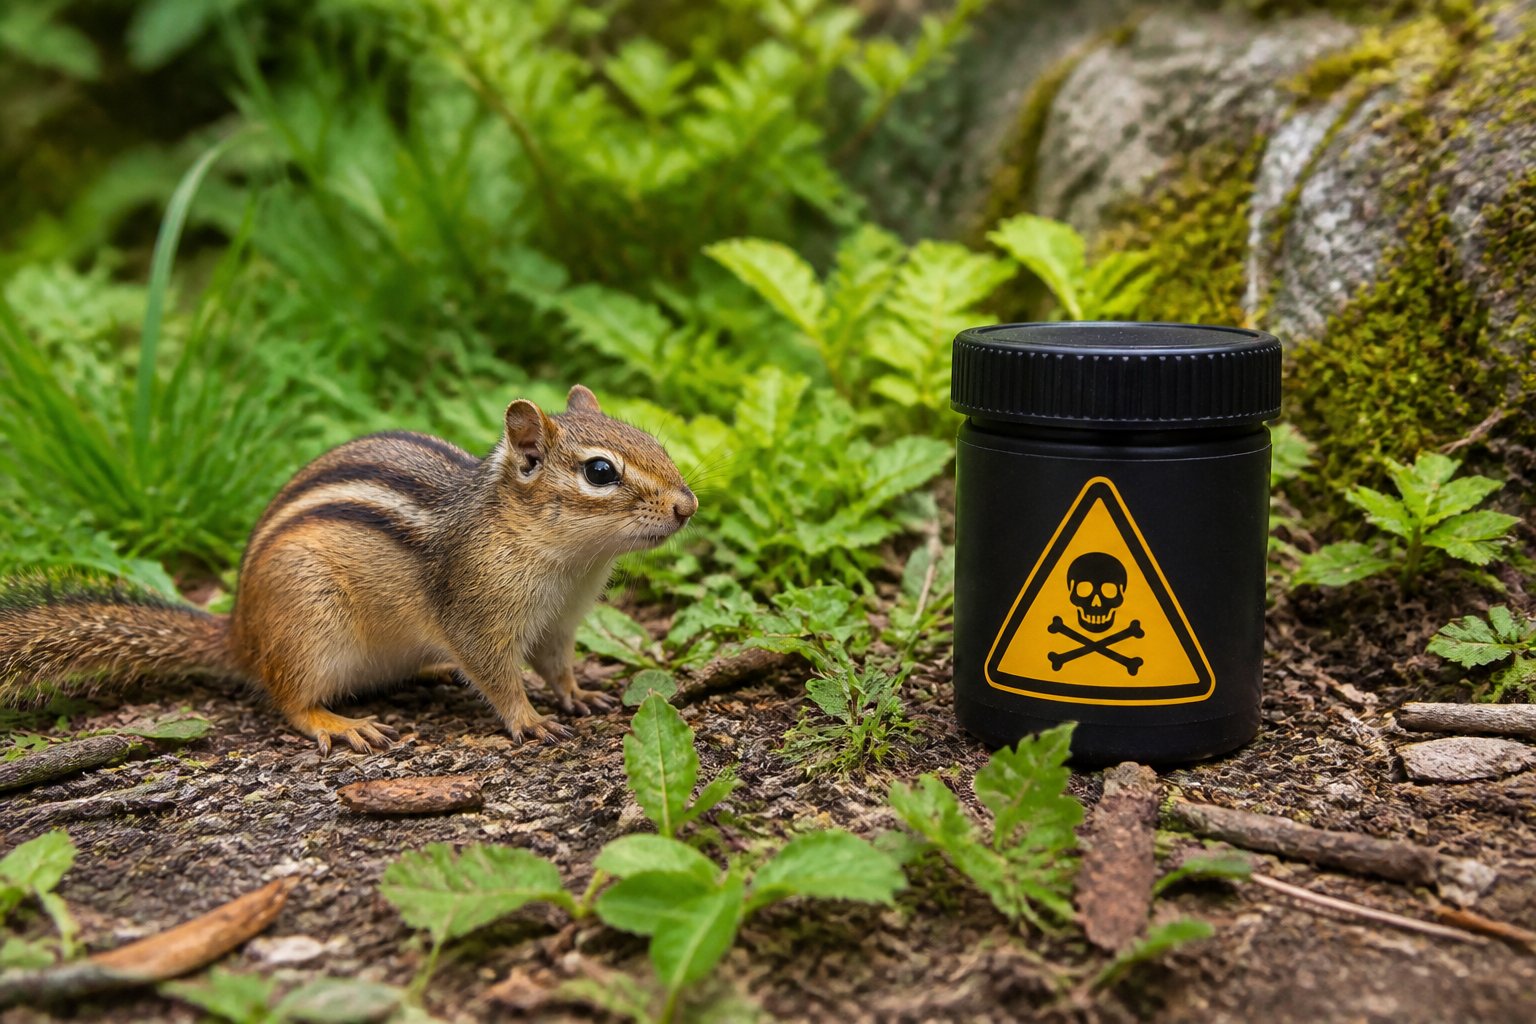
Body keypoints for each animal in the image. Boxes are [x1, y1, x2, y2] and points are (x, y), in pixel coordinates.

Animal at [0, 385, 697, 755]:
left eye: (656, 444)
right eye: (600, 472)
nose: (688, 505)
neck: (569, 563)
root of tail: (239, 633)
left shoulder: (559, 623)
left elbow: (555, 665)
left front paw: (579, 694)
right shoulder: (478, 614)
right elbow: (498, 676)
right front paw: (528, 718)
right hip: (310, 624)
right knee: (287, 700)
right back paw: (339, 723)